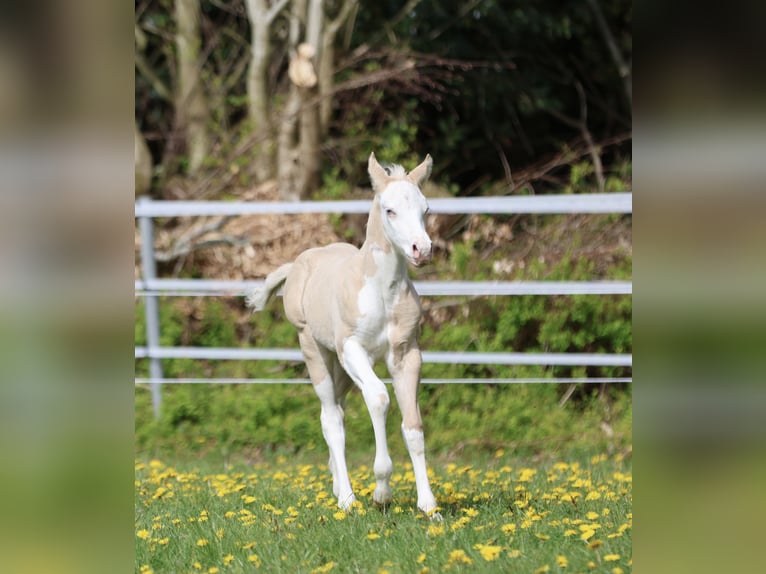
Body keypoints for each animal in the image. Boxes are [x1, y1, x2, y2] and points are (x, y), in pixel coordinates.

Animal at [246, 152, 439, 516]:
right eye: (389, 209)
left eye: (426, 208)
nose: (421, 250)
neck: (382, 292)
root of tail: (298, 265)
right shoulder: (352, 348)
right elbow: (378, 398)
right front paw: (382, 492)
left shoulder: (407, 354)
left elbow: (414, 426)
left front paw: (429, 505)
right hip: (315, 351)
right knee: (331, 418)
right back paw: (347, 500)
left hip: (342, 370)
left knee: (338, 412)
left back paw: (338, 486)